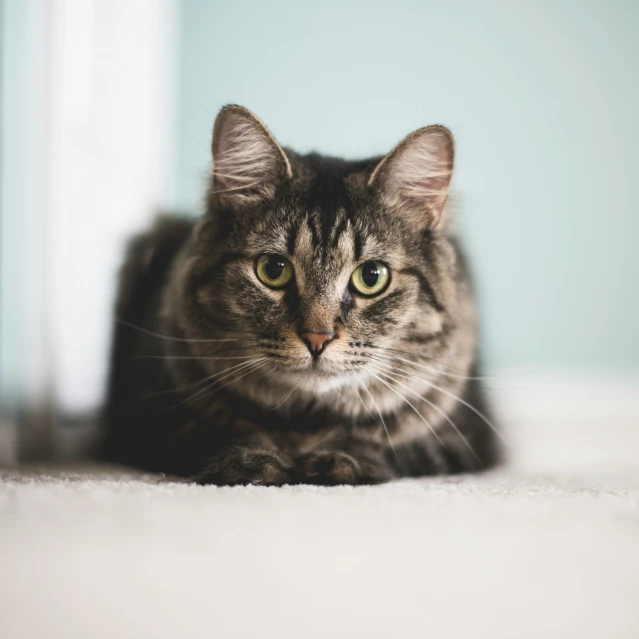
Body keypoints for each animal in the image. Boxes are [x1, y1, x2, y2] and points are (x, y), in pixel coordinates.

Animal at [101, 105, 500, 484]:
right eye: (273, 269)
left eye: (371, 276)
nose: (317, 337)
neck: (306, 425)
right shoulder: (146, 417)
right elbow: (224, 431)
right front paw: (251, 463)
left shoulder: (460, 437)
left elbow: (377, 443)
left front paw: (338, 461)